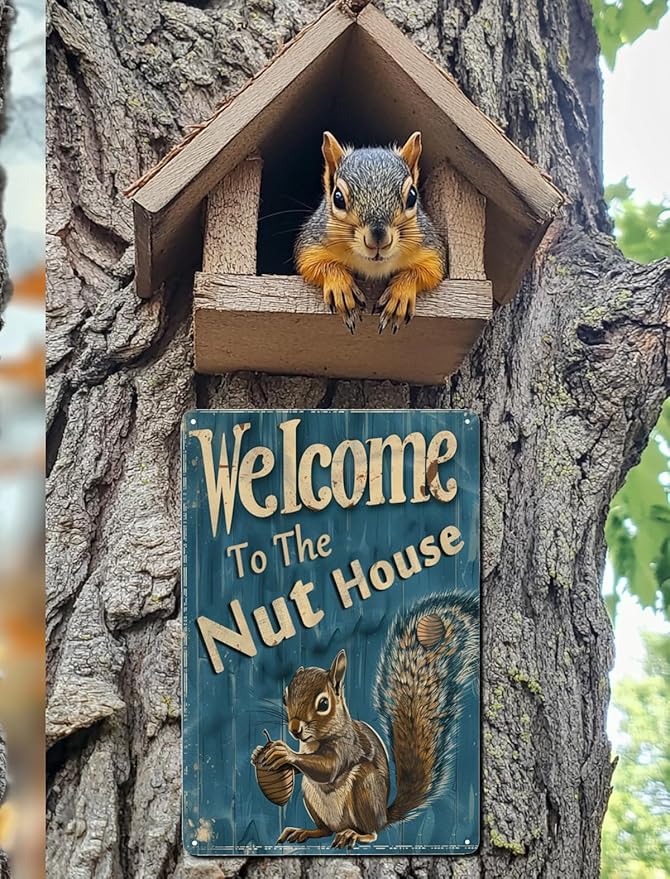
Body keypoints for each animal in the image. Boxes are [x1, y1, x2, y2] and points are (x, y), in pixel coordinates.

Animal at [251, 591, 479, 849]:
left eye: (323, 704)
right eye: (284, 696)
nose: (294, 729)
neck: (314, 740)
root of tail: (383, 816)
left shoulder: (347, 747)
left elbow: (328, 768)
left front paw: (285, 752)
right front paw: (260, 753)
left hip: (365, 786)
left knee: (371, 832)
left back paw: (354, 835)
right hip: (311, 796)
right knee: (325, 829)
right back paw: (305, 831)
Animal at [294, 131, 447, 335]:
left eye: (412, 196)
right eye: (338, 198)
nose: (378, 240)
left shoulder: (429, 245)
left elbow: (430, 270)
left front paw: (400, 294)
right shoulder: (313, 240)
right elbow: (311, 262)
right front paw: (341, 287)